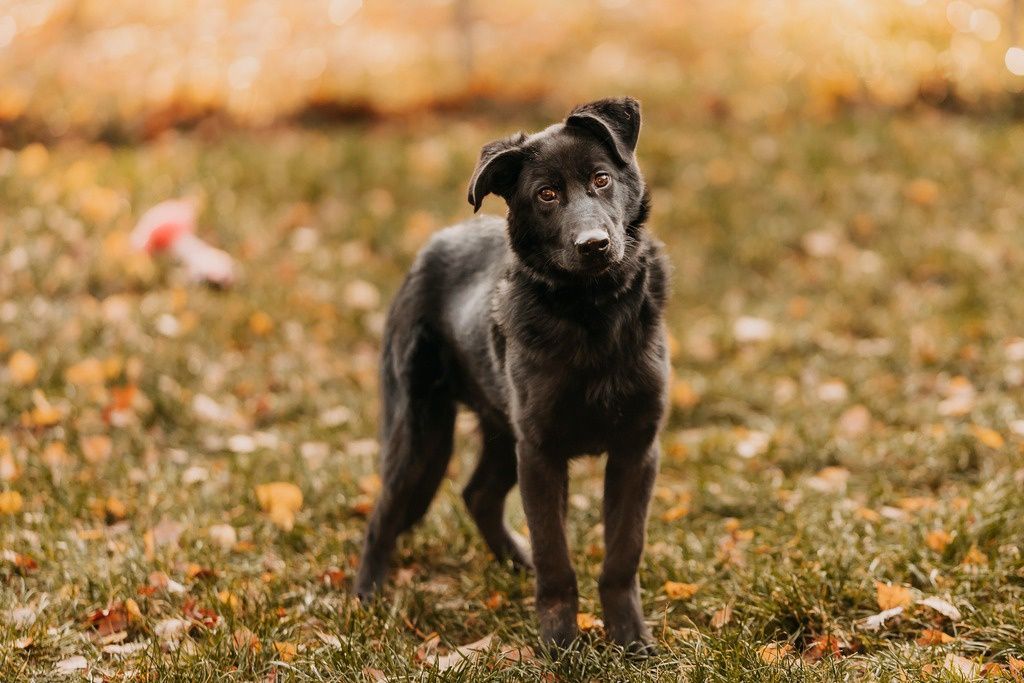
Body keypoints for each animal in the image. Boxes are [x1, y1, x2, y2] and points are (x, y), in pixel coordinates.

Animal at [356, 96, 667, 651]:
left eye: (602, 179)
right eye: (546, 194)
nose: (594, 244)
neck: (592, 316)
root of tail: (429, 248)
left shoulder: (636, 450)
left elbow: (621, 556)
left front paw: (630, 642)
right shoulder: (540, 453)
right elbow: (556, 557)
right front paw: (561, 646)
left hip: (501, 431)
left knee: (477, 494)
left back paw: (514, 562)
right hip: (420, 435)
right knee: (383, 514)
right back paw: (367, 600)